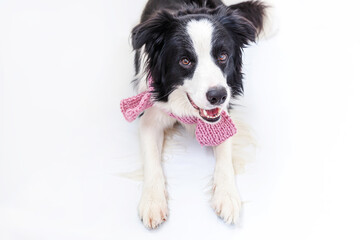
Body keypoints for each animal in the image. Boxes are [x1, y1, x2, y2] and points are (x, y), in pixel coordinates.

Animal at [122, 0, 266, 229]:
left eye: (223, 56)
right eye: (185, 61)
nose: (218, 96)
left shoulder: (223, 117)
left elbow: (225, 157)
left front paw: (227, 196)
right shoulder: (150, 118)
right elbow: (152, 160)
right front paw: (153, 201)